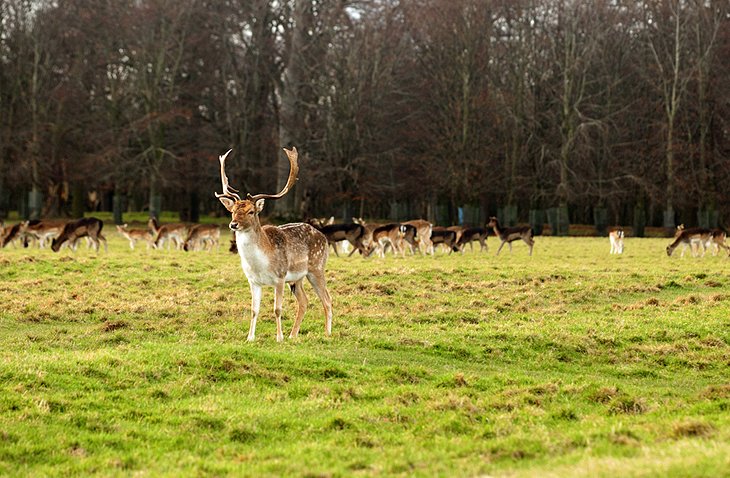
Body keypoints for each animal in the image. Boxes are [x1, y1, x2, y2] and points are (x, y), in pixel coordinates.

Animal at [215, 148, 332, 342]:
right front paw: (250, 338)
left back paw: (327, 333)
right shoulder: (253, 281)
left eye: (251, 211)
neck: (260, 263)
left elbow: (277, 309)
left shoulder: (280, 277)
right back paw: (293, 335)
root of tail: (323, 236)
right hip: (297, 278)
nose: (233, 224)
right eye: (232, 211)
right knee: (304, 301)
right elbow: (254, 310)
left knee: (327, 299)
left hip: (317, 267)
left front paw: (279, 337)